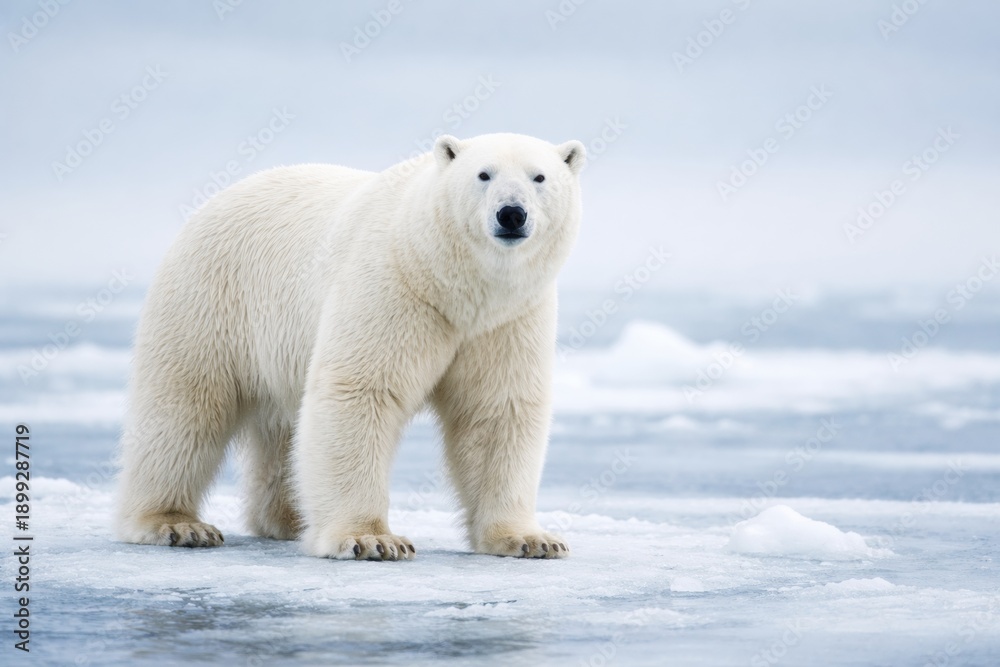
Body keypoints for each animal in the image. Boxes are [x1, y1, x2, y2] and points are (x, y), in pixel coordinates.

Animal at [115, 132, 585, 560]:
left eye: (539, 176)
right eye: (483, 174)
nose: (512, 214)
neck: (449, 283)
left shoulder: (507, 318)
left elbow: (497, 410)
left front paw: (531, 540)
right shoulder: (395, 286)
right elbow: (360, 391)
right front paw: (372, 539)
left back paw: (289, 518)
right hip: (211, 299)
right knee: (185, 408)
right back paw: (175, 524)